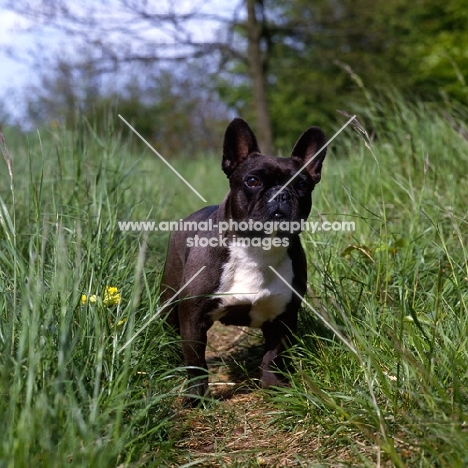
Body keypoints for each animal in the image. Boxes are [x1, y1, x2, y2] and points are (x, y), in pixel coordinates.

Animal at [160, 119, 326, 404]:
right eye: (253, 180)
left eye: (303, 186)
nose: (281, 193)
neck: (257, 249)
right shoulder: (192, 317)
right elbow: (196, 361)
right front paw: (196, 397)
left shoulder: (284, 317)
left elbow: (273, 356)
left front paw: (272, 385)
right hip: (169, 300)